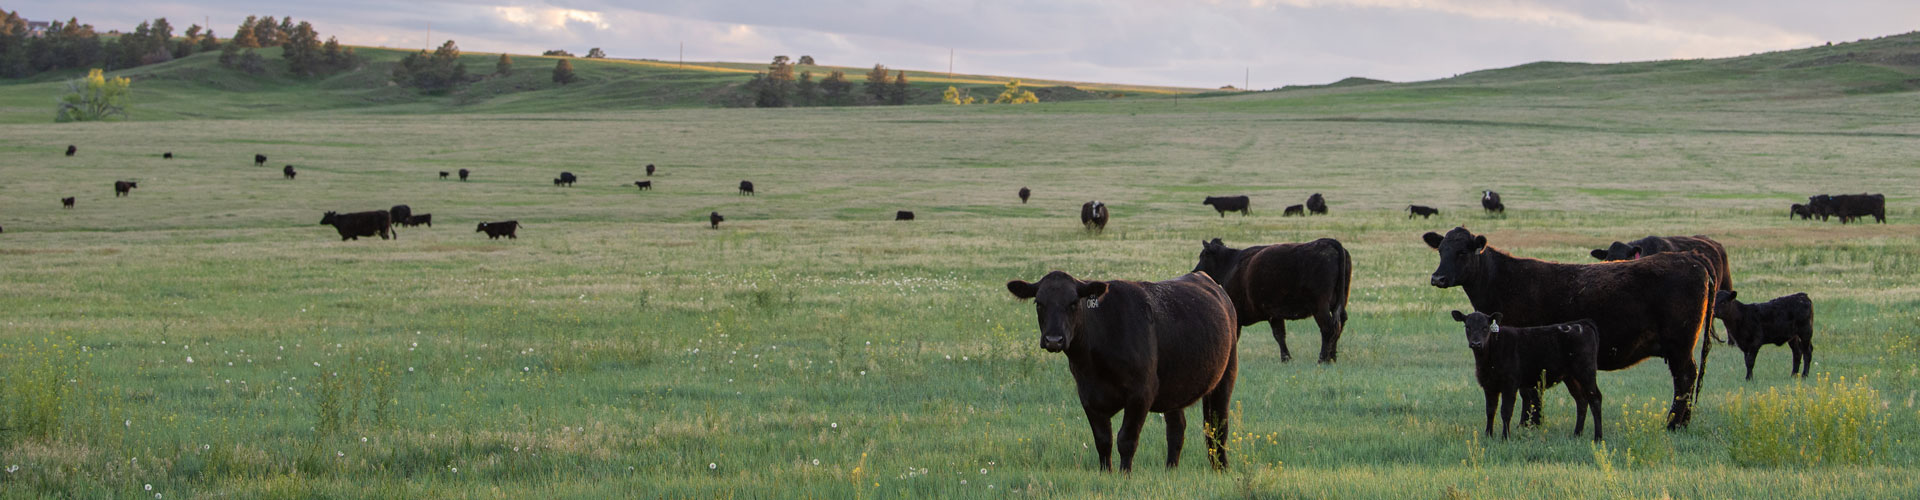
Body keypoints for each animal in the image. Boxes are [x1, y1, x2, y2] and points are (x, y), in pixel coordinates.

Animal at [1006, 271, 1244, 471]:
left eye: (1073, 303)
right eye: (1039, 303)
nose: (1053, 339)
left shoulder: (1141, 394)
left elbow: (1126, 439)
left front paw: (1124, 475)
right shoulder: (1088, 396)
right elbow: (1103, 440)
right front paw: (1106, 473)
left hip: (1225, 377)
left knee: (1217, 427)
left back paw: (1221, 468)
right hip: (1175, 388)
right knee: (1177, 429)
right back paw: (1170, 470)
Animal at [1182, 239, 1351, 363]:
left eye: (1204, 255)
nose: (1194, 272)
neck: (1231, 264)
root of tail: (1328, 242)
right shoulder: (1274, 313)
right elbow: (1280, 335)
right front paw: (1286, 359)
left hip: (1320, 306)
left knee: (1328, 328)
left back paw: (1323, 359)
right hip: (1339, 303)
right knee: (1339, 324)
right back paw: (1332, 357)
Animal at [1420, 226, 1720, 425]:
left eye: (1462, 252)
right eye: (1441, 250)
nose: (1438, 278)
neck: (1505, 281)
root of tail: (1691, 257)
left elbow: (1530, 391)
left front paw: (1529, 424)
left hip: (1680, 346)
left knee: (1685, 378)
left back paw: (1674, 424)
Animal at [1451, 311, 1605, 442]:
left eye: (1485, 327)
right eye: (1468, 327)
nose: (1476, 343)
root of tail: (1580, 323)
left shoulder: (1510, 384)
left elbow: (1506, 411)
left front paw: (1505, 437)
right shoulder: (1488, 385)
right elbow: (1490, 411)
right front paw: (1488, 435)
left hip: (1586, 372)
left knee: (1595, 399)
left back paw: (1598, 437)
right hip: (1571, 377)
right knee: (1581, 400)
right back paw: (1577, 434)